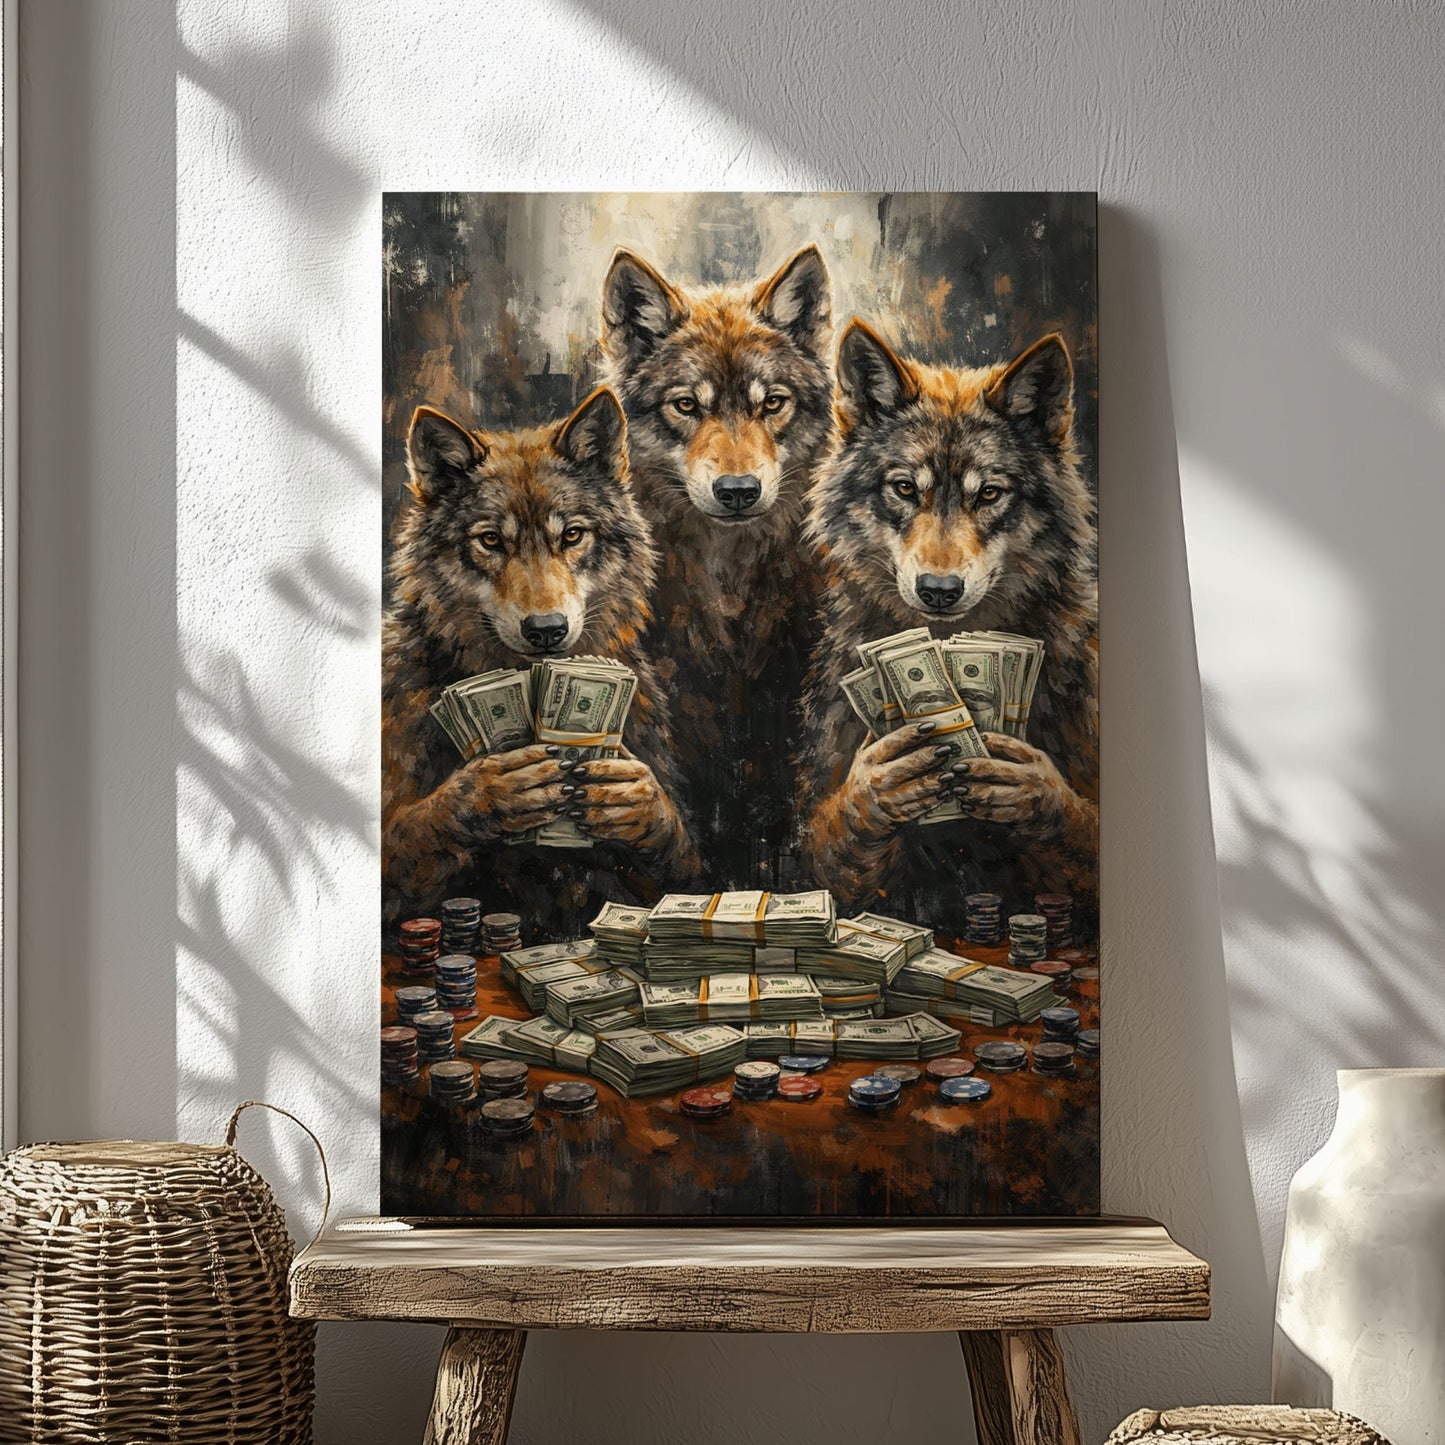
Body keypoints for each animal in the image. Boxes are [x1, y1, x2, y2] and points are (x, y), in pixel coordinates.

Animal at [382, 386, 698, 931]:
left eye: (571, 535)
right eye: (491, 540)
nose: (547, 630)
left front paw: (638, 801)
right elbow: (410, 834)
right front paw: (487, 791)